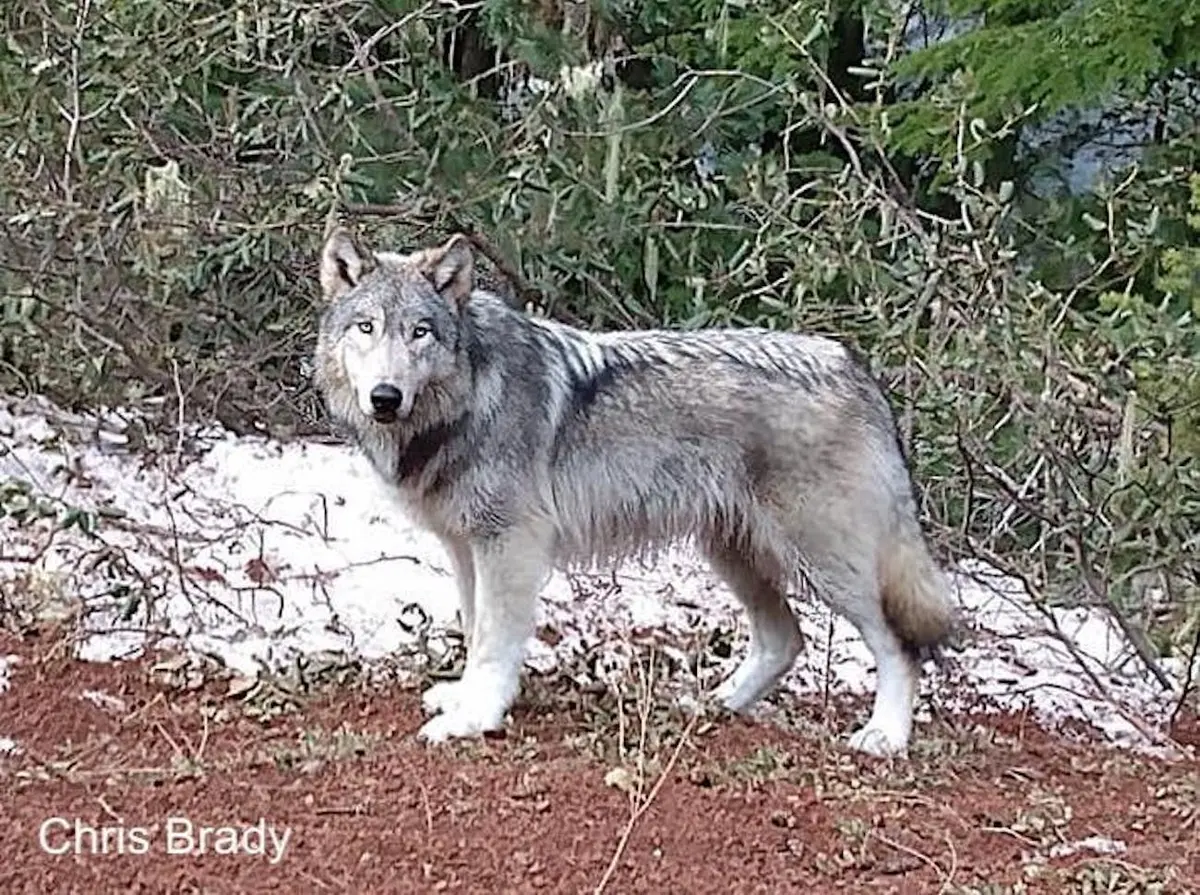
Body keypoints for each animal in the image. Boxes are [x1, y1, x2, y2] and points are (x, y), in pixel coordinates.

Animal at [313, 227, 957, 757]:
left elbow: (495, 642)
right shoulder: (467, 549)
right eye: (366, 328)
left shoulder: (510, 547)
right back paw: (714, 705)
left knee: (900, 645)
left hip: (823, 566)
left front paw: (475, 719)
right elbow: (476, 633)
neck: (469, 395)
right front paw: (465, 700)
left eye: (419, 333)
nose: (385, 397)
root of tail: (854, 367)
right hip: (734, 554)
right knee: (785, 641)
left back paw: (884, 737)